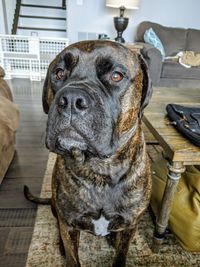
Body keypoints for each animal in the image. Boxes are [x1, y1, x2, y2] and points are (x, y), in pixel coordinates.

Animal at [25, 40, 153, 267]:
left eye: (116, 76)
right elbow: (72, 255)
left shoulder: (130, 226)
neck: (100, 170)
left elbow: (121, 254)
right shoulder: (68, 224)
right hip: (56, 209)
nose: (71, 99)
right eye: (58, 73)